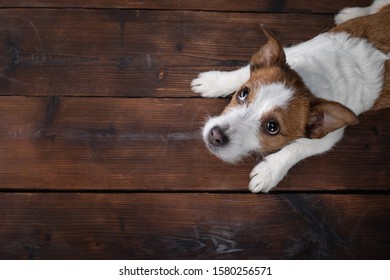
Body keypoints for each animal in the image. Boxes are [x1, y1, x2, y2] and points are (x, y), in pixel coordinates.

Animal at [190, 0, 388, 192]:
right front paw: (216, 81)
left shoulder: (329, 138)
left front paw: (268, 172)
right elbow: (244, 71)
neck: (310, 81)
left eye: (272, 127)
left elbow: (298, 147)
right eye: (243, 93)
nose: (215, 135)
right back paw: (353, 13)